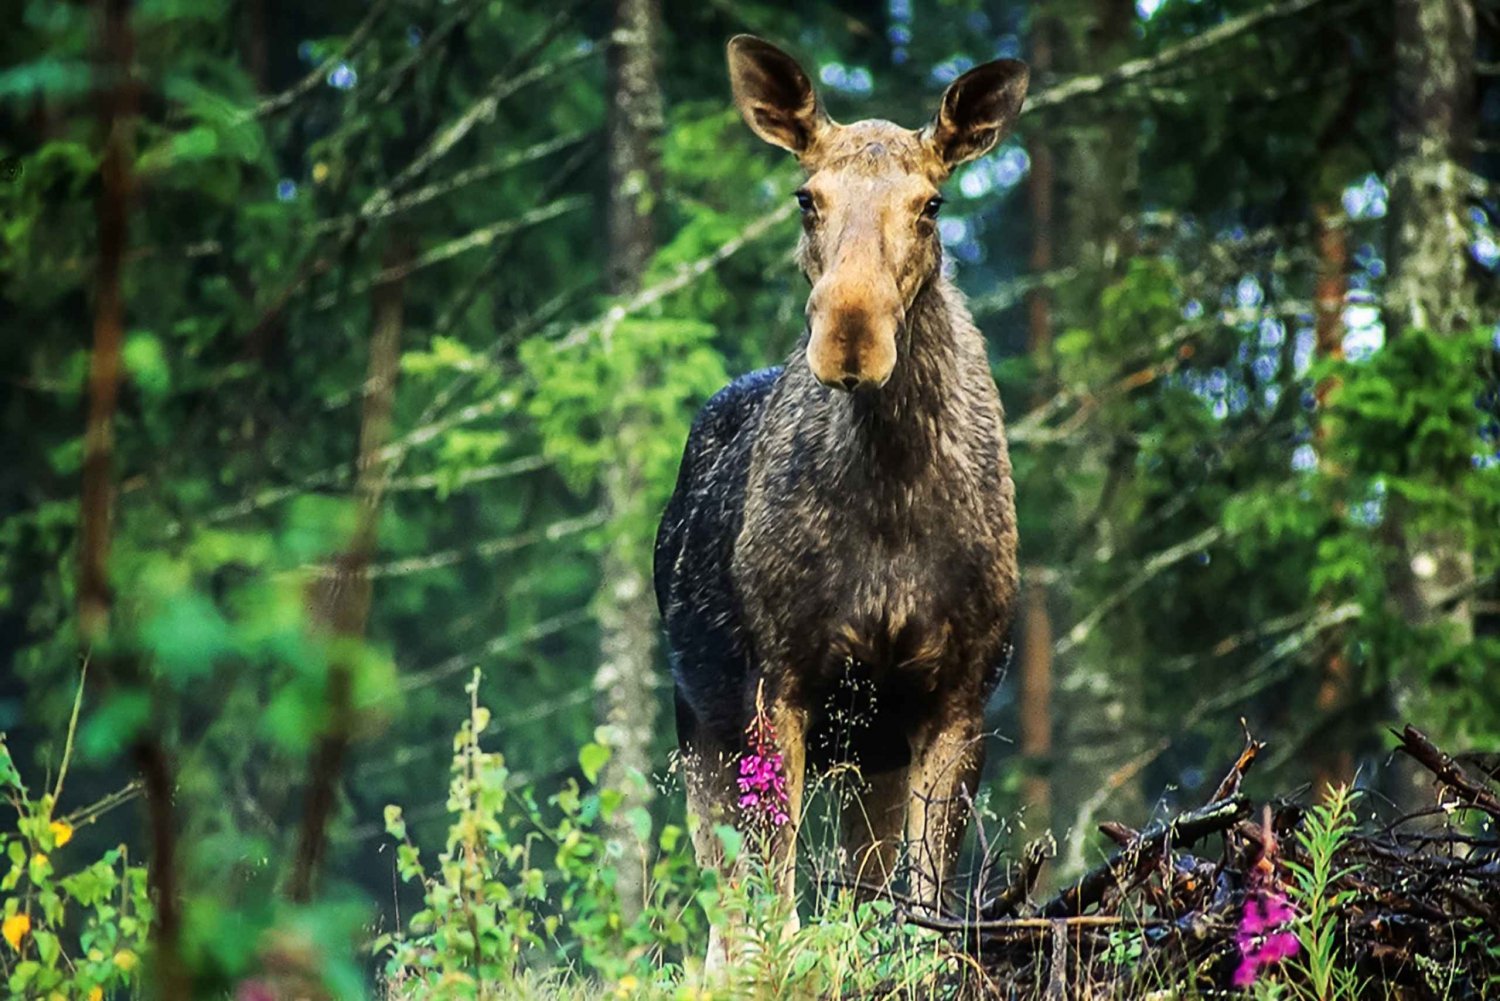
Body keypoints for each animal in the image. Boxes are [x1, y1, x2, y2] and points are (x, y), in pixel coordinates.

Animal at [657, 35, 1032, 966]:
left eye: (932, 202)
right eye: (806, 197)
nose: (850, 337)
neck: (892, 491)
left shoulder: (957, 694)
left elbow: (923, 909)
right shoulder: (776, 681)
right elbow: (776, 903)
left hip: (870, 754)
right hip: (698, 722)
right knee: (722, 908)